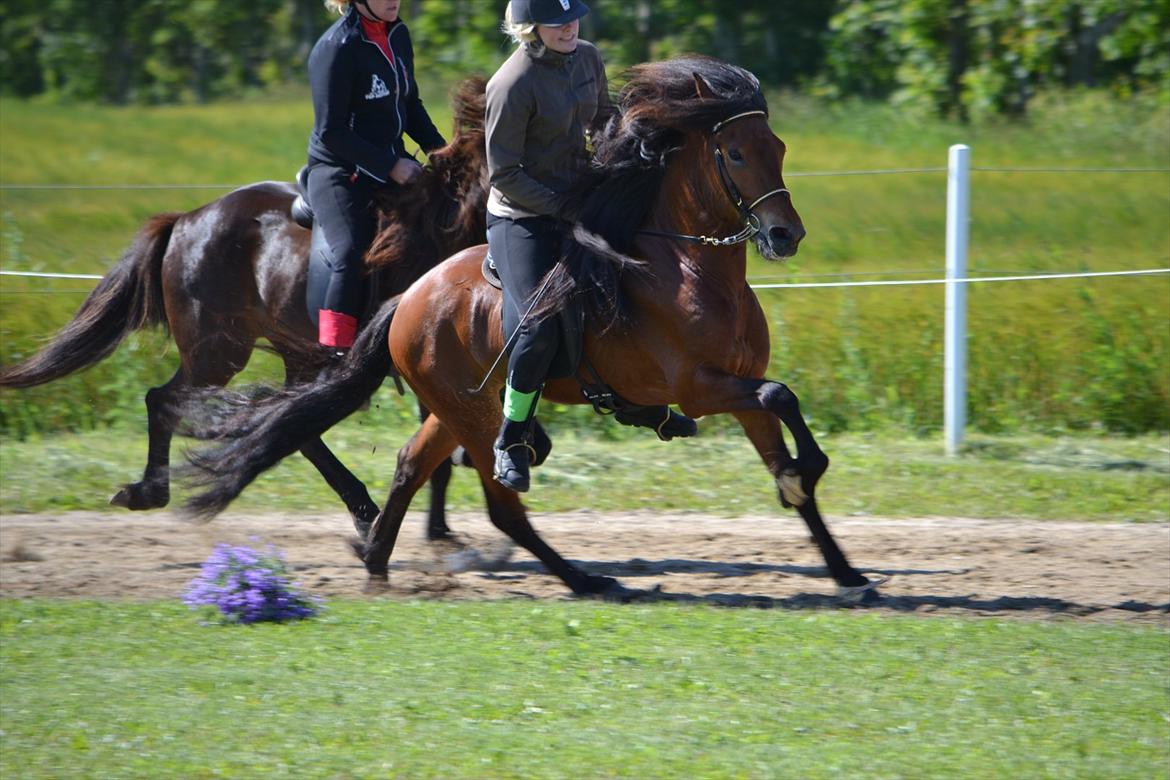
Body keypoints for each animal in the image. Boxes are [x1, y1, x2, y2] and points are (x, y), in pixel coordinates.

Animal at [0, 79, 491, 542]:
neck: (445, 231)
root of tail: (186, 221)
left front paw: (441, 528)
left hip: (290, 352)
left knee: (295, 424)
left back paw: (363, 511)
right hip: (218, 352)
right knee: (166, 400)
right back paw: (149, 491)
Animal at [180, 56, 879, 603]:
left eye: (778, 149)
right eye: (734, 153)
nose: (786, 235)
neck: (690, 269)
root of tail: (410, 294)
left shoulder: (738, 386)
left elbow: (782, 434)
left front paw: (844, 569)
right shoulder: (701, 389)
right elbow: (780, 397)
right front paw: (808, 472)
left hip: (456, 406)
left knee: (412, 464)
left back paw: (377, 560)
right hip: (476, 415)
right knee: (501, 502)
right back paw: (584, 580)